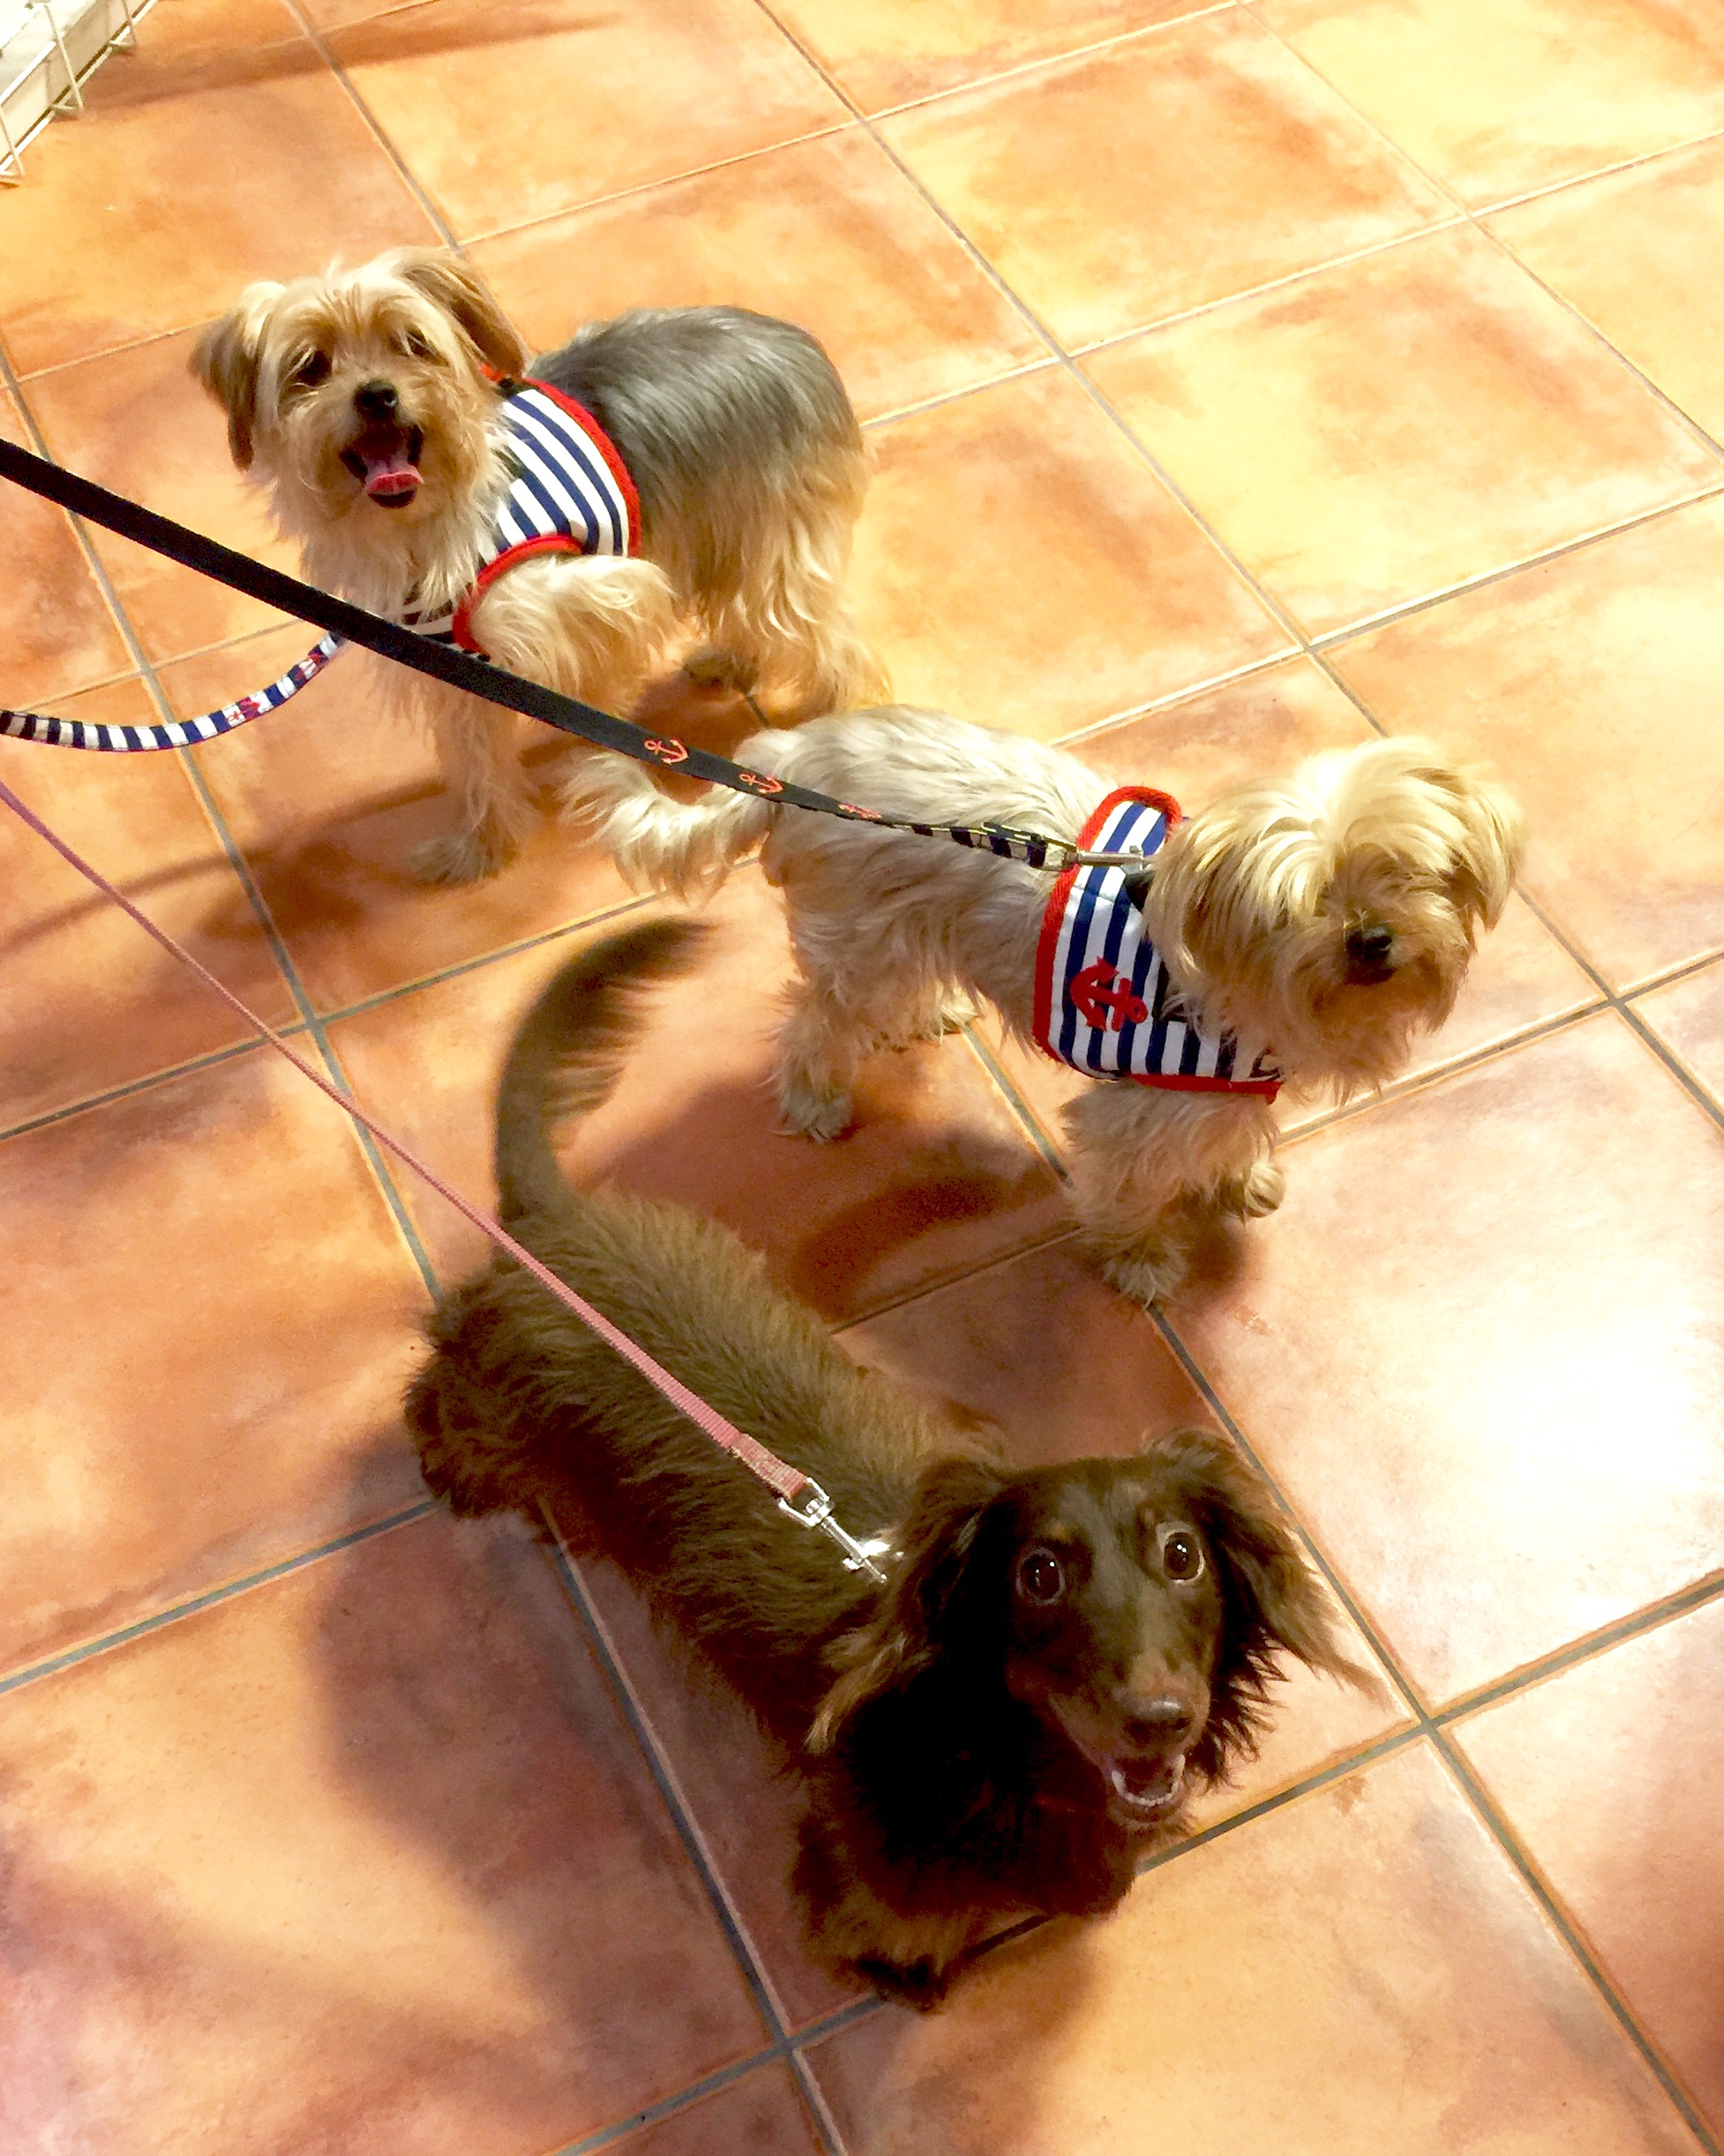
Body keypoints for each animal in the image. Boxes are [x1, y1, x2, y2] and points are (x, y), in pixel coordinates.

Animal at [192, 250, 884, 884]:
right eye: (310, 367)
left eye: (412, 344)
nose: (377, 395)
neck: (424, 529)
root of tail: (791, 339)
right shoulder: (452, 671)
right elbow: (478, 765)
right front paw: (480, 850)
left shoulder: (604, 590)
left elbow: (597, 648)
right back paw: (731, 662)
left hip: (772, 546)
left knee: (818, 633)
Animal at [403, 917, 1366, 2007]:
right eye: (1037, 1573)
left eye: (1182, 1555)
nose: (1159, 1718)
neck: (983, 1744)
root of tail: (549, 1226)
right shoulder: (869, 1873)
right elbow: (893, 1931)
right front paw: (912, 1980)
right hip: (484, 1409)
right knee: (432, 1400)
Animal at [573, 707, 1525, 1303]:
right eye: (1303, 905)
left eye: (1405, 873)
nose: (1372, 938)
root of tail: (788, 756)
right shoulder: (1138, 1112)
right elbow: (1133, 1193)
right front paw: (1139, 1261)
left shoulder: (1223, 1092)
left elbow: (1232, 1138)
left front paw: (1236, 1177)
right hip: (863, 944)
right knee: (817, 1020)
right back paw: (814, 1097)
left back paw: (928, 1014)